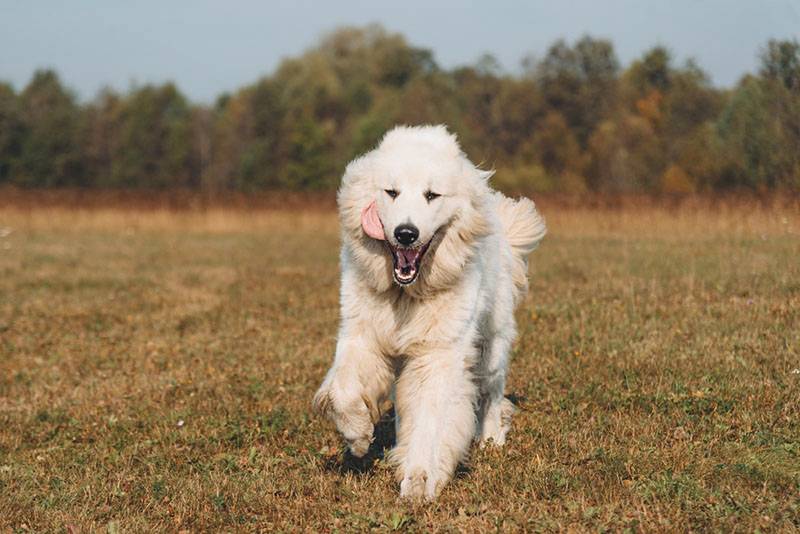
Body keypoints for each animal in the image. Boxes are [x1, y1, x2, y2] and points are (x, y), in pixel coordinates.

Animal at [316, 125, 548, 502]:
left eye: (431, 195)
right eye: (391, 192)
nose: (405, 234)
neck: (405, 294)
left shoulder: (437, 355)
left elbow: (431, 421)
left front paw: (420, 480)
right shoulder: (361, 337)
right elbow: (343, 391)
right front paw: (358, 435)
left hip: (491, 346)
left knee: (492, 394)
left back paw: (492, 439)